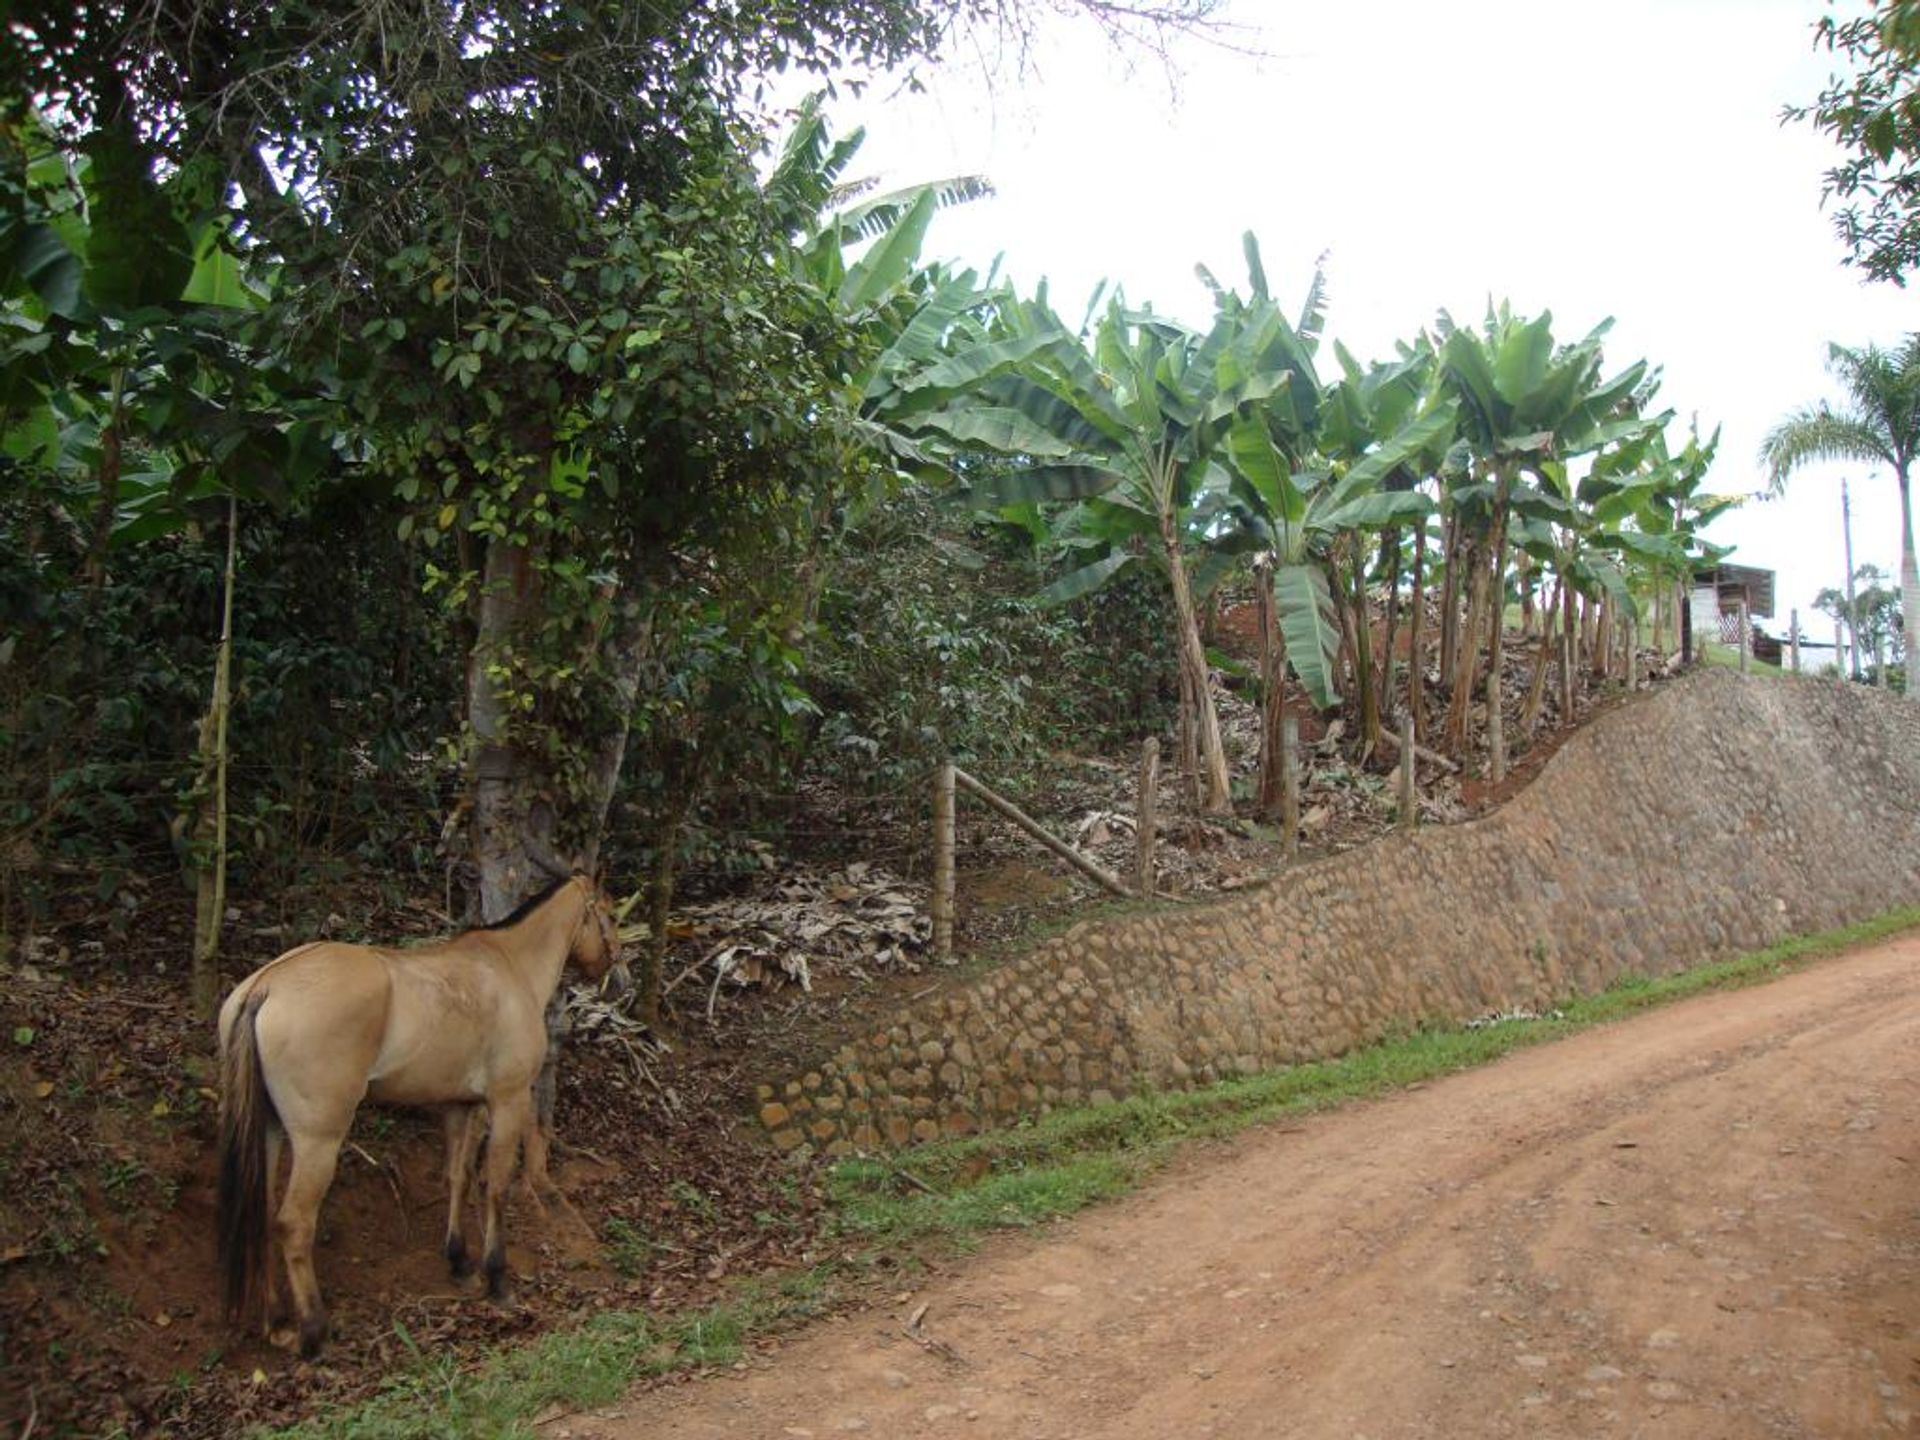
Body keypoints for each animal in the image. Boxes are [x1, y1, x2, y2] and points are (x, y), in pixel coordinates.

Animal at [216, 875, 622, 1359]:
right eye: (609, 913)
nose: (614, 976)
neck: (509, 968)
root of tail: (266, 987)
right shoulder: (507, 1102)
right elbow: (496, 1186)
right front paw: (497, 1279)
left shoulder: (461, 1107)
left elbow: (457, 1178)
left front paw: (460, 1262)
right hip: (318, 1141)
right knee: (293, 1223)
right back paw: (313, 1331)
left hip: (270, 1131)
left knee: (262, 1214)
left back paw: (276, 1321)